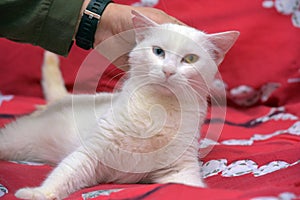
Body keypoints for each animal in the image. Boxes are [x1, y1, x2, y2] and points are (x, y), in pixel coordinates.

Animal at [0, 10, 239, 198]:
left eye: (190, 59)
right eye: (158, 51)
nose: (168, 71)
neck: (158, 110)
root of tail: (65, 99)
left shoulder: (180, 169)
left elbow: (188, 186)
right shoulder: (91, 153)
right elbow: (64, 173)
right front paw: (37, 193)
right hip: (19, 138)